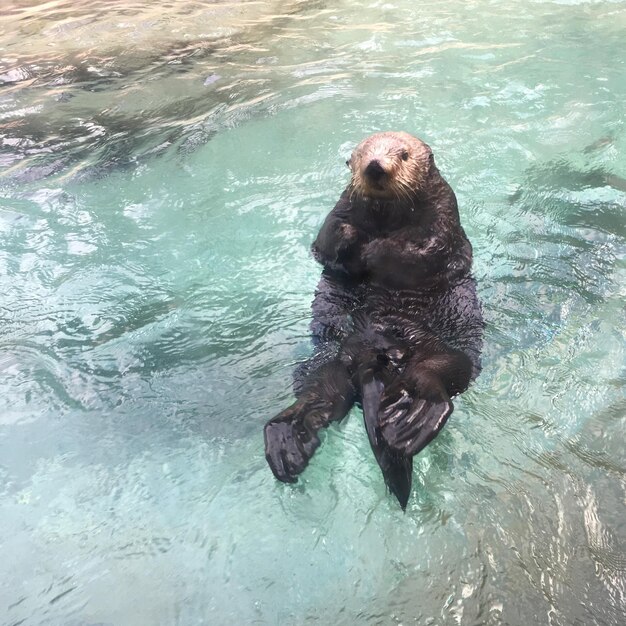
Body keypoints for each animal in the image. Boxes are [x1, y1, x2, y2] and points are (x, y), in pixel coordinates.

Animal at [264, 132, 482, 508]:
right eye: (361, 156)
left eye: (404, 154)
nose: (376, 167)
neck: (389, 222)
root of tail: (375, 353)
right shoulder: (342, 206)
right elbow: (327, 238)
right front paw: (351, 238)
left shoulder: (444, 212)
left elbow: (427, 250)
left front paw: (377, 249)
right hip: (327, 361)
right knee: (321, 392)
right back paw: (290, 436)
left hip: (444, 354)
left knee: (441, 375)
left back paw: (413, 414)